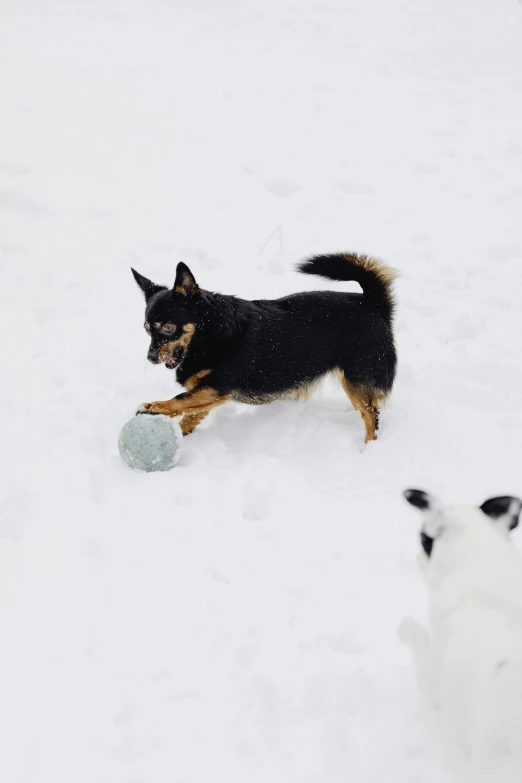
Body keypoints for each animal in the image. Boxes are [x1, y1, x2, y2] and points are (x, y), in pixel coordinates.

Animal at [132, 254, 396, 444]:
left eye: (168, 327)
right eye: (147, 329)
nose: (151, 358)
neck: (208, 334)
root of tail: (373, 303)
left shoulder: (216, 387)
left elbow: (179, 399)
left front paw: (153, 408)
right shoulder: (209, 394)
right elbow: (189, 414)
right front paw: (179, 436)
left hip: (356, 380)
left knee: (371, 415)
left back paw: (368, 448)